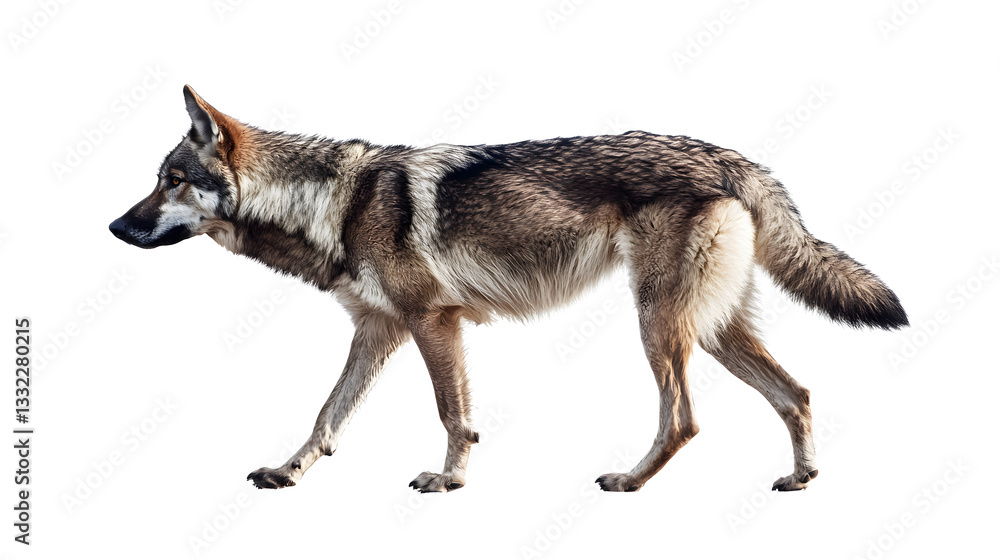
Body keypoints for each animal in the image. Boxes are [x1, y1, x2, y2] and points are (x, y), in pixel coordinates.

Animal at [110, 86, 907, 493]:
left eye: (173, 180)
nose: (115, 226)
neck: (334, 202)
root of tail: (730, 156)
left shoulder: (434, 322)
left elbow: (452, 414)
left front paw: (449, 479)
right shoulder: (377, 330)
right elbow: (327, 413)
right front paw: (289, 471)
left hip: (659, 325)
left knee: (684, 420)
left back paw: (629, 481)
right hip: (710, 330)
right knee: (796, 393)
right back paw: (801, 479)